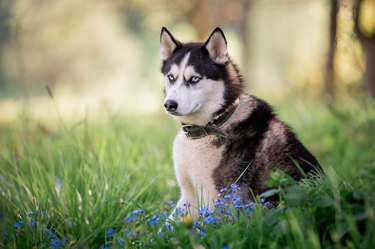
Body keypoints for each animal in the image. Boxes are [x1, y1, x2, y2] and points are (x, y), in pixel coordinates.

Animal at [160, 26, 322, 218]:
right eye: (171, 77)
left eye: (194, 79)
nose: (169, 104)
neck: (213, 124)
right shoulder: (188, 194)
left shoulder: (218, 196)